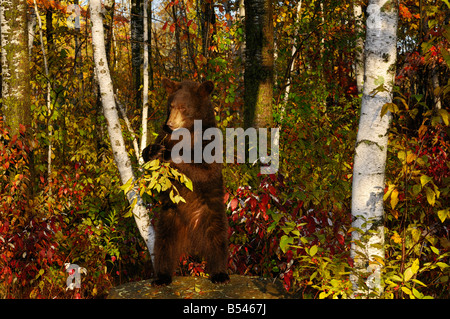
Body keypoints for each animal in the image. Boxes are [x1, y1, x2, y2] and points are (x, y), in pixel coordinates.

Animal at [142, 79, 230, 286]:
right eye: (171, 106)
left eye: (183, 107)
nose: (170, 123)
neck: (188, 130)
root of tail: (191, 231)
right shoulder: (164, 135)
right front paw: (152, 151)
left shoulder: (209, 143)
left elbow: (204, 169)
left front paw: (167, 155)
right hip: (169, 219)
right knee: (163, 247)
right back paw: (162, 276)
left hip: (212, 214)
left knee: (218, 241)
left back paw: (220, 274)